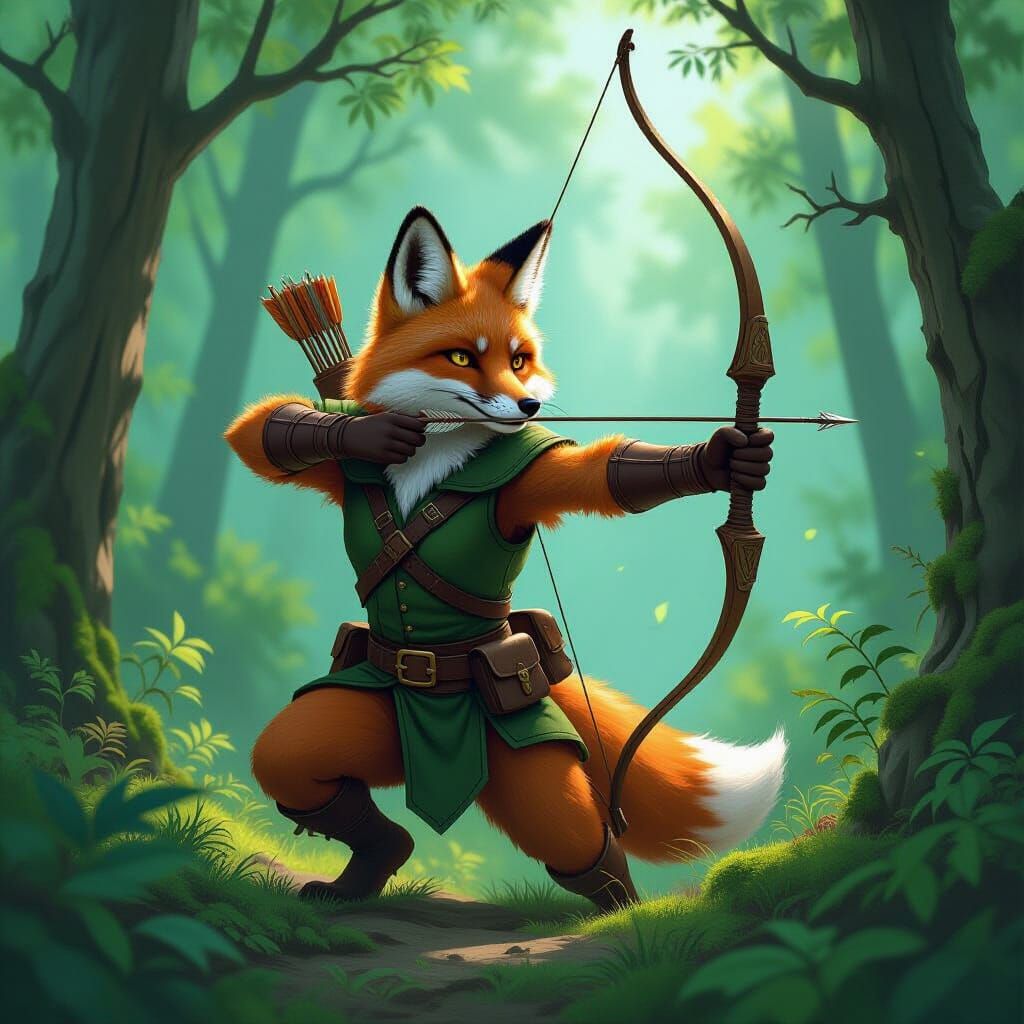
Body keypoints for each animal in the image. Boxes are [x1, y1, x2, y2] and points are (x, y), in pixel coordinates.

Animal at [225, 206, 784, 909]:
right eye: (463, 357)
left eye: (520, 359)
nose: (528, 406)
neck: (437, 446)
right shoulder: (336, 463)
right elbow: (262, 430)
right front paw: (371, 432)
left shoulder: (531, 474)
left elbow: (601, 475)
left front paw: (723, 458)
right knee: (289, 757)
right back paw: (370, 866)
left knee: (571, 831)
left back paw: (623, 913)